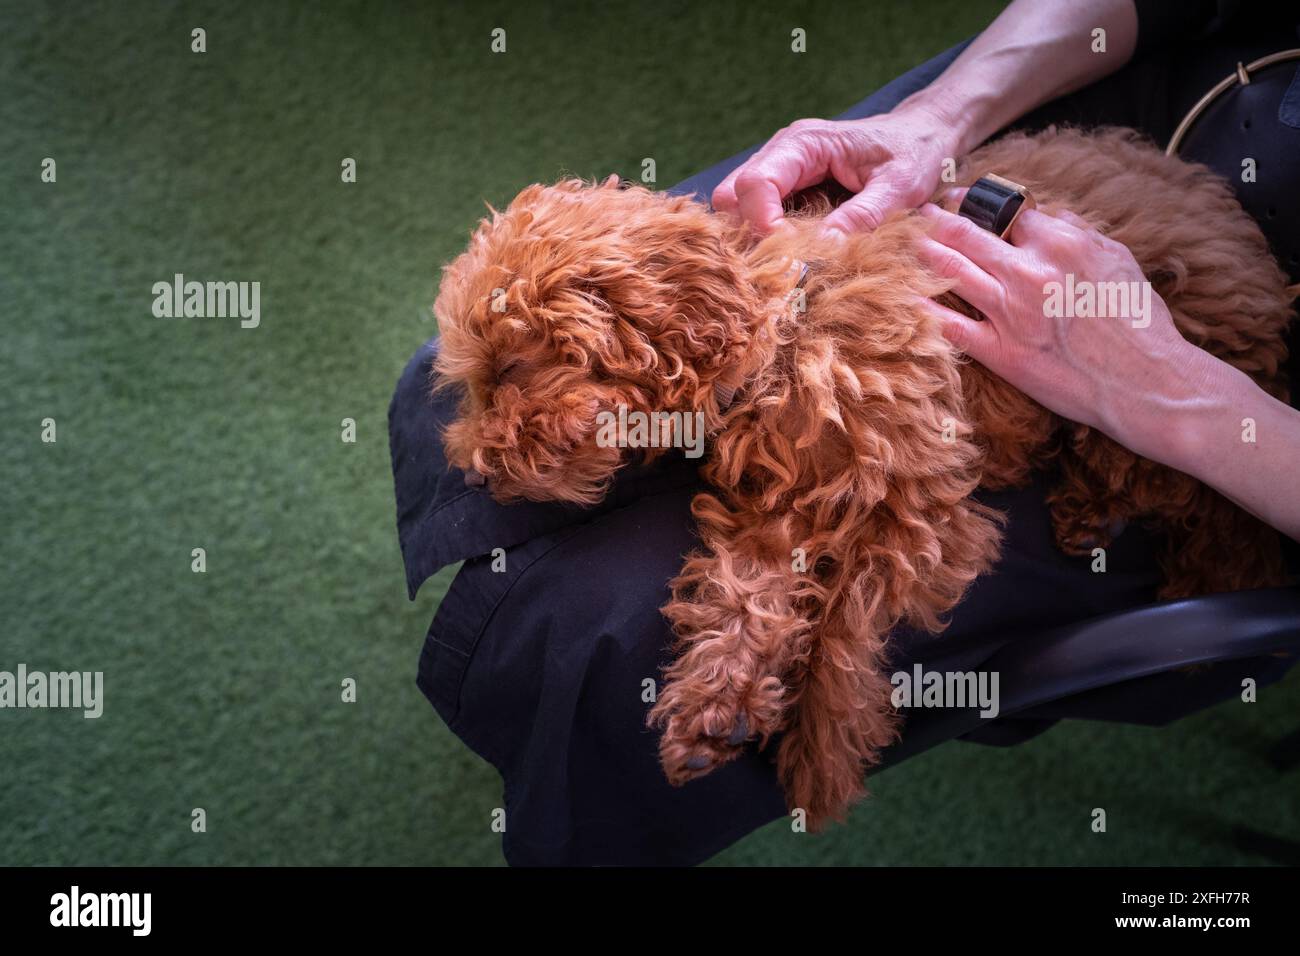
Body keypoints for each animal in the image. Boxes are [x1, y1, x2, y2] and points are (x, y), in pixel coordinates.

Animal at [434, 127, 1289, 827]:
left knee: (1197, 490)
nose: (472, 475)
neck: (783, 327)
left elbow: (842, 629)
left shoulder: (914, 507)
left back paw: (1118, 508)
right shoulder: (777, 512)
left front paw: (819, 759)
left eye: (507, 370)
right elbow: (747, 592)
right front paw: (716, 705)